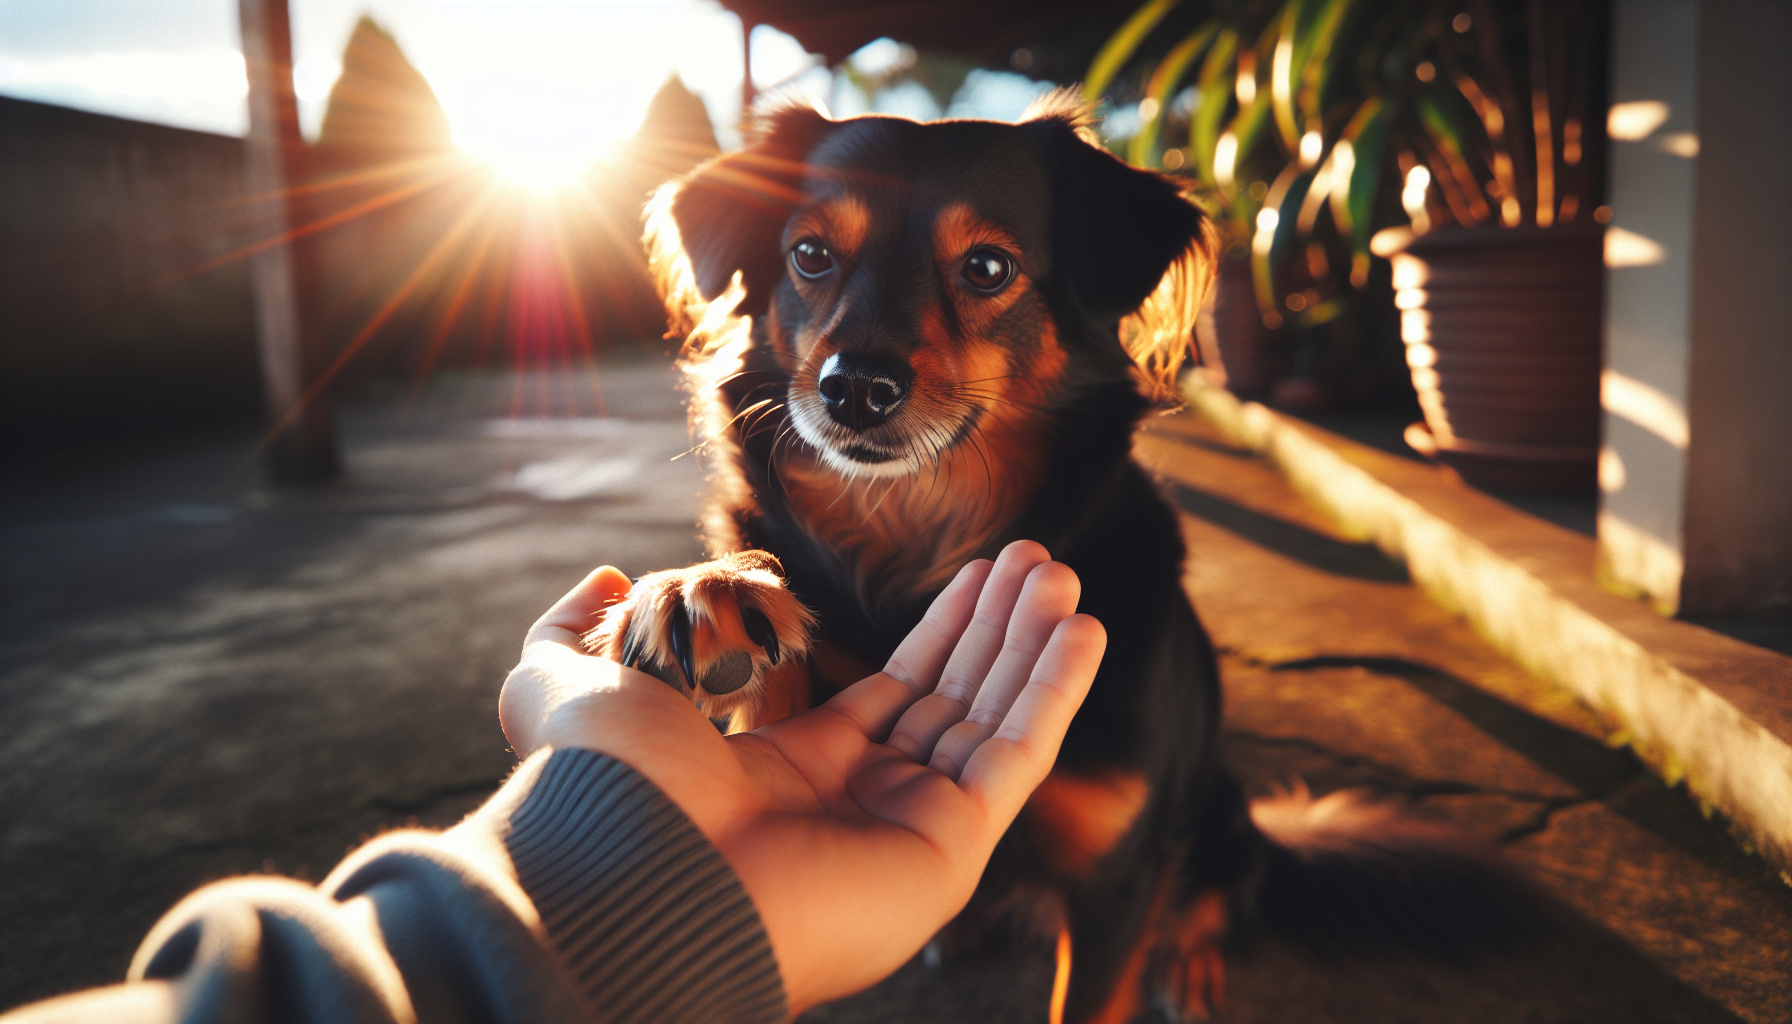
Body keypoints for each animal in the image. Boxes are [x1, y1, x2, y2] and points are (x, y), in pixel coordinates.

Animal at [587, 92, 1526, 1018]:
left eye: (988, 268)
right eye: (810, 256)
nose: (852, 388)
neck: (918, 558)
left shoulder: (1118, 878)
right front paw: (707, 593)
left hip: (1217, 805)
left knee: (1223, 888)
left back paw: (1188, 963)